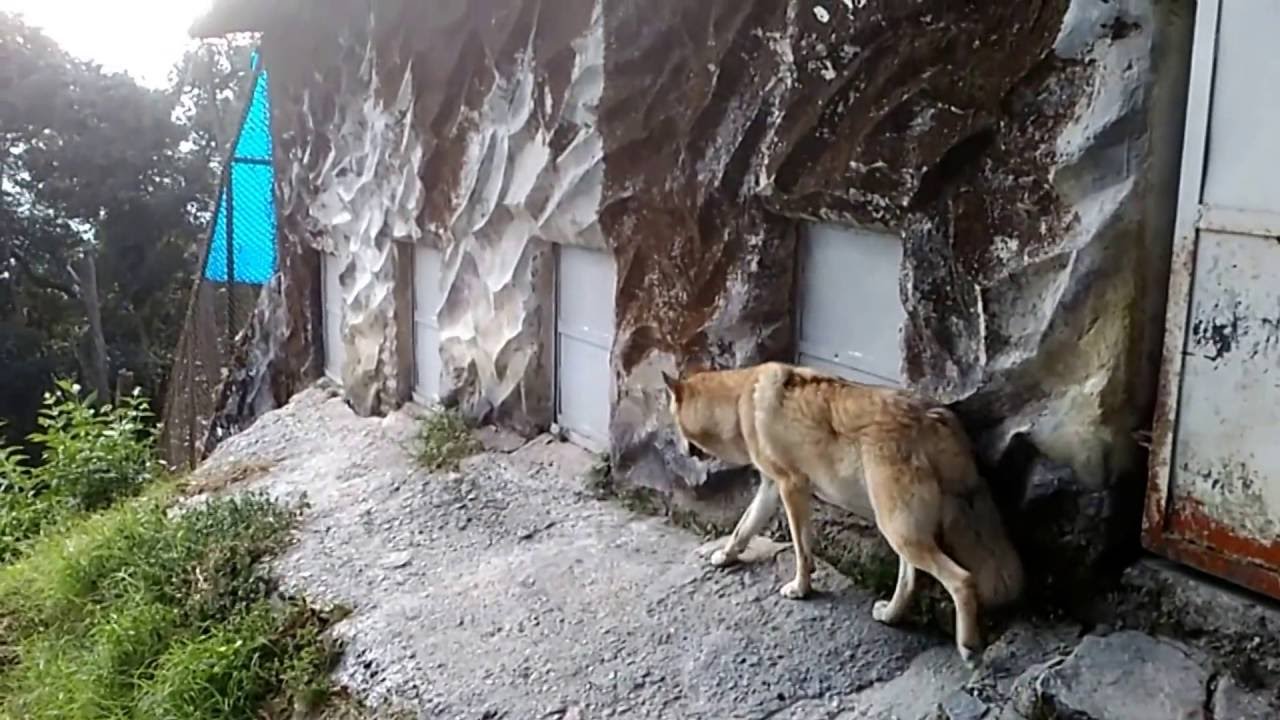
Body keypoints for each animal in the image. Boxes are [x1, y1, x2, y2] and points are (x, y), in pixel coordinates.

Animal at [664, 361, 1023, 661]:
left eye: (673, 422)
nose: (675, 450)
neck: (740, 403)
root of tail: (931, 415)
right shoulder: (770, 487)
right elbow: (742, 530)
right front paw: (726, 557)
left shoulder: (791, 487)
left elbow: (800, 550)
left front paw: (801, 589)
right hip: (899, 532)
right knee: (910, 579)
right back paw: (891, 616)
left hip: (900, 533)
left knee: (962, 580)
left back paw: (968, 646)